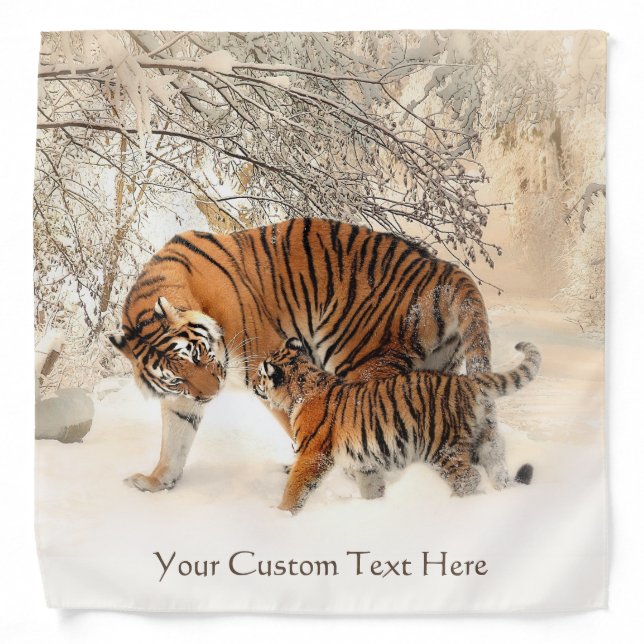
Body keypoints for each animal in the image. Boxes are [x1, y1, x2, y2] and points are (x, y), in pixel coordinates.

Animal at [108, 217, 501, 495]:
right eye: (177, 378)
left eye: (200, 354)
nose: (212, 394)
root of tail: (445, 270)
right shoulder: (182, 398)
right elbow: (174, 440)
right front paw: (156, 482)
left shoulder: (268, 365)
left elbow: (300, 424)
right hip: (437, 370)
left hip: (361, 361)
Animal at [253, 337, 541, 514]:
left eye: (260, 374)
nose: (254, 384)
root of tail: (467, 381)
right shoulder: (365, 462)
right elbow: (371, 487)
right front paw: (375, 507)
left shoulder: (312, 454)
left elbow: (295, 487)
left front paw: (281, 514)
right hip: (486, 441)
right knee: (498, 469)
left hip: (442, 448)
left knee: (468, 478)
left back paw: (453, 505)